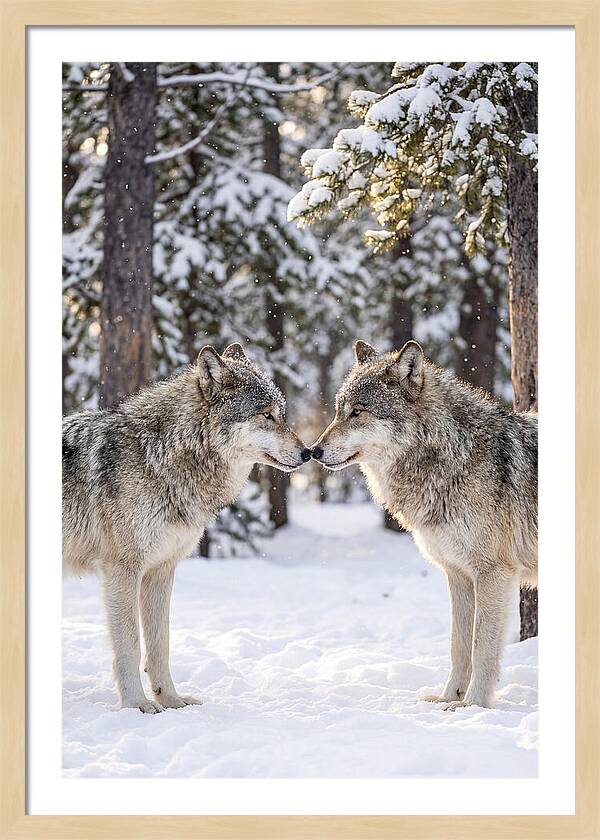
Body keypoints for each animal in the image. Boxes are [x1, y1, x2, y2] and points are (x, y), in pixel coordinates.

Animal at [63, 343, 310, 713]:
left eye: (281, 414)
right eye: (266, 415)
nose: (309, 452)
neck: (158, 458)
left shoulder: (161, 569)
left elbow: (160, 644)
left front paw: (171, 700)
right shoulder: (122, 570)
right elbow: (130, 644)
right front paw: (137, 704)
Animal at [312, 339, 537, 709]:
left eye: (358, 412)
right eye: (338, 411)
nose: (313, 451)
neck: (454, 457)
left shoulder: (494, 574)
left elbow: (481, 648)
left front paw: (473, 705)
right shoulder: (458, 575)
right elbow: (458, 646)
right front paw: (448, 697)